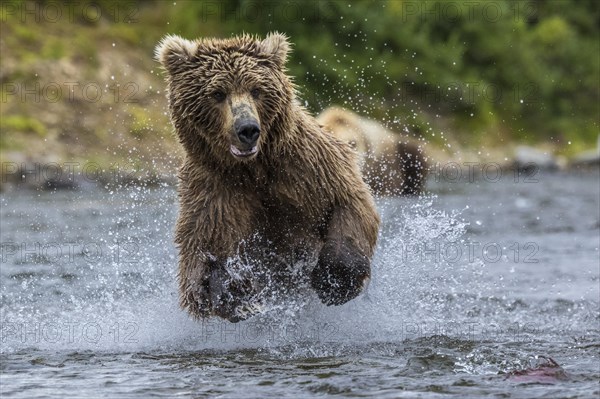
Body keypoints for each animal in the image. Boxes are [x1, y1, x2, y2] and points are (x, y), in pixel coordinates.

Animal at [155, 32, 380, 324]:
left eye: (256, 89)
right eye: (218, 93)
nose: (248, 129)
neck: (252, 169)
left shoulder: (307, 168)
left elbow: (350, 202)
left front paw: (334, 281)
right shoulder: (214, 189)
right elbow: (201, 253)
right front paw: (229, 290)